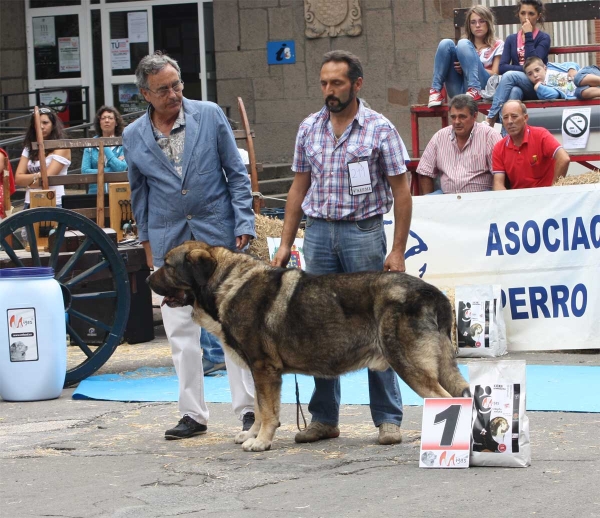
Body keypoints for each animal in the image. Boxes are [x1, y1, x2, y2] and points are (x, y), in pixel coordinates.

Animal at [149, 243, 468, 450]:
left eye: (167, 265)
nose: (147, 278)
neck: (227, 283)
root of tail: (435, 294)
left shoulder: (263, 369)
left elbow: (267, 411)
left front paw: (260, 441)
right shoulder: (258, 371)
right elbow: (259, 408)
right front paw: (252, 435)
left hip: (410, 365)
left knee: (444, 400)